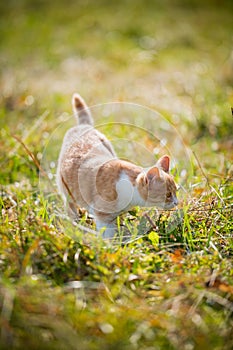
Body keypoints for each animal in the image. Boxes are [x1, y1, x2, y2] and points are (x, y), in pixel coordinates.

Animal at [57, 93, 178, 238]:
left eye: (176, 191)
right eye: (168, 194)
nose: (177, 202)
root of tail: (84, 126)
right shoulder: (103, 215)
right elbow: (107, 233)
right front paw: (110, 242)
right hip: (66, 190)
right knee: (70, 206)